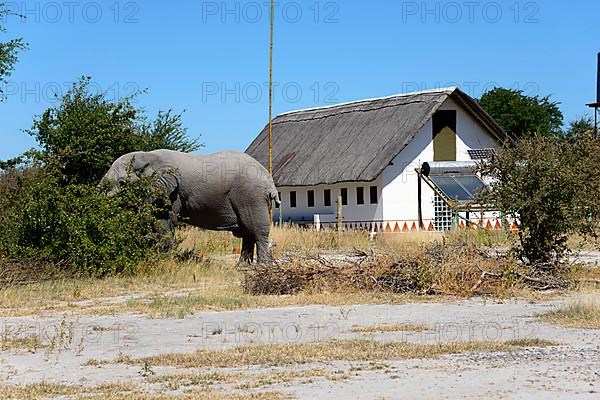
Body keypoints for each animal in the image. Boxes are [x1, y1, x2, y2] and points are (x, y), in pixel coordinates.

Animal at [101, 148, 282, 264]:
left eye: (122, 182)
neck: (146, 156)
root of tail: (269, 180)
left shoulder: (171, 192)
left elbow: (163, 221)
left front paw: (163, 262)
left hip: (251, 196)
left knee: (257, 231)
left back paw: (261, 267)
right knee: (247, 233)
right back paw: (242, 267)